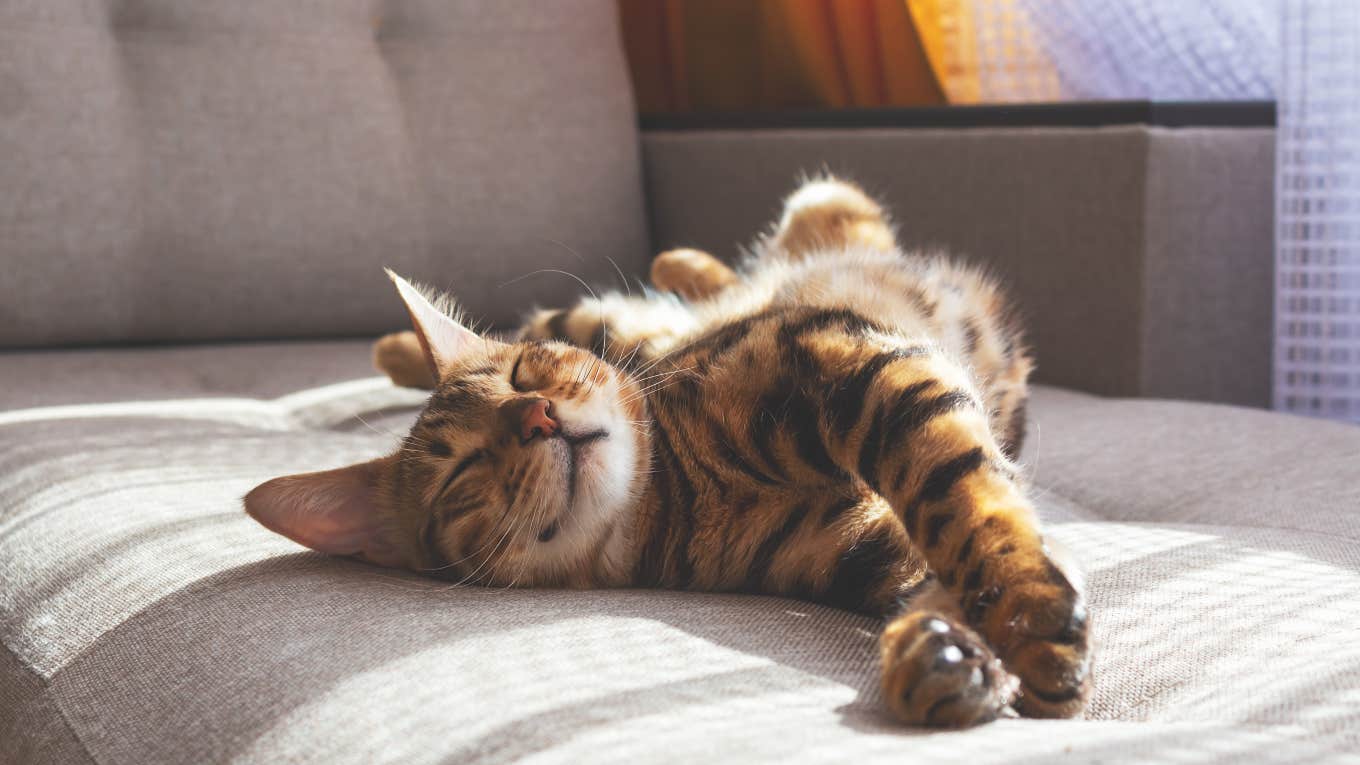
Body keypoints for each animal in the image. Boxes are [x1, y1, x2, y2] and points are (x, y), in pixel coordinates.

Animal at [247, 175, 1093, 724]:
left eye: (523, 374)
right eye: (463, 470)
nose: (538, 415)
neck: (682, 491)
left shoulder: (843, 353)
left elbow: (962, 498)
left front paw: (1025, 617)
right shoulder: (866, 544)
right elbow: (939, 557)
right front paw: (948, 656)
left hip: (768, 243)